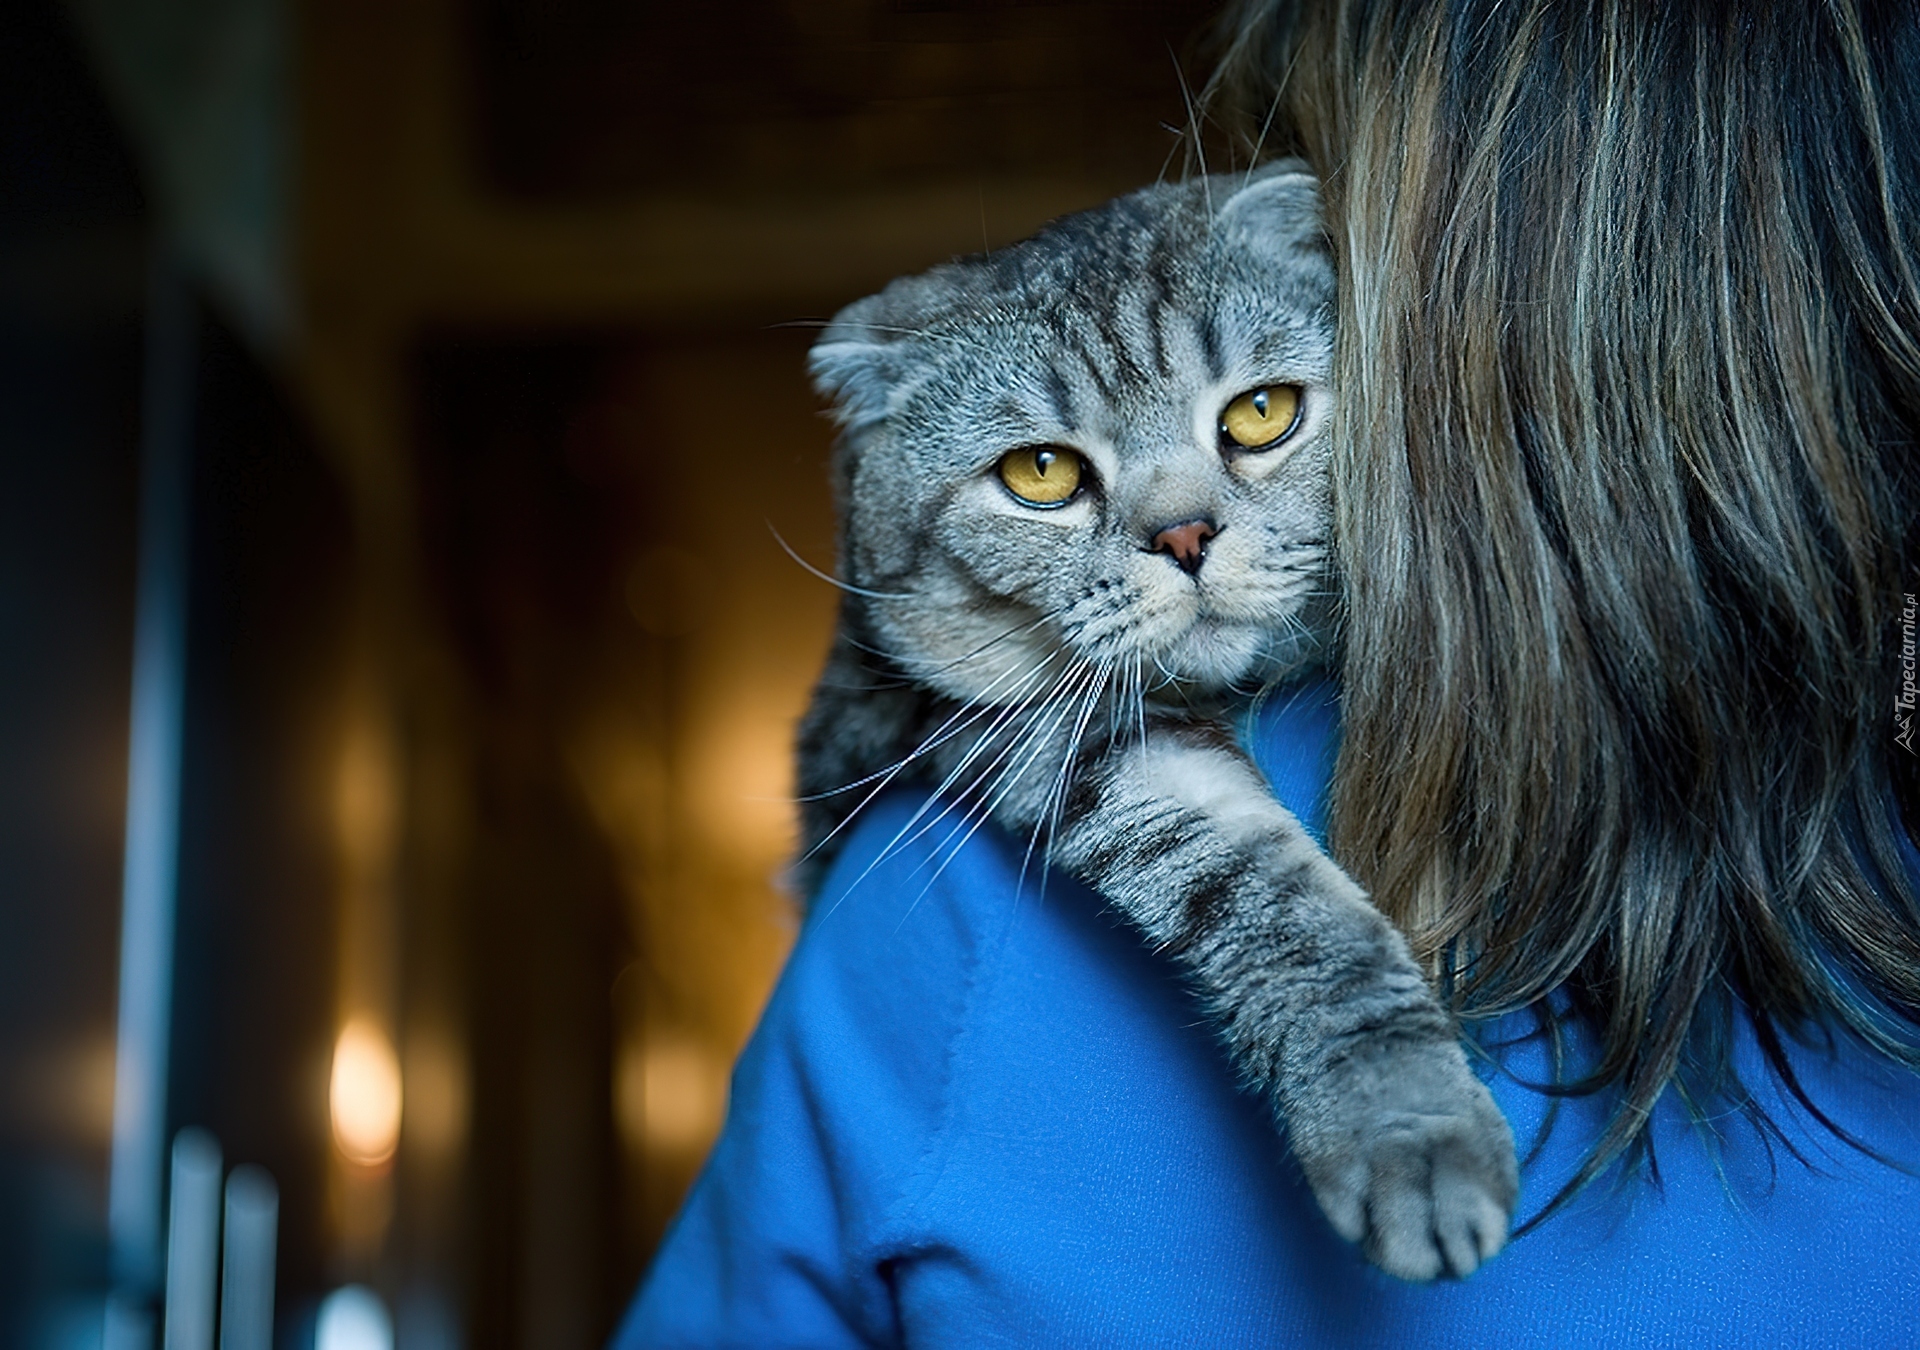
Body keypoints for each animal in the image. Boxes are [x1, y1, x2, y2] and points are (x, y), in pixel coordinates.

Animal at [794, 163, 1512, 1282]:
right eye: (1040, 474)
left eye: (1261, 413)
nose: (1184, 537)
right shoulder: (1052, 739)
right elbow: (1282, 906)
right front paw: (1408, 1126)